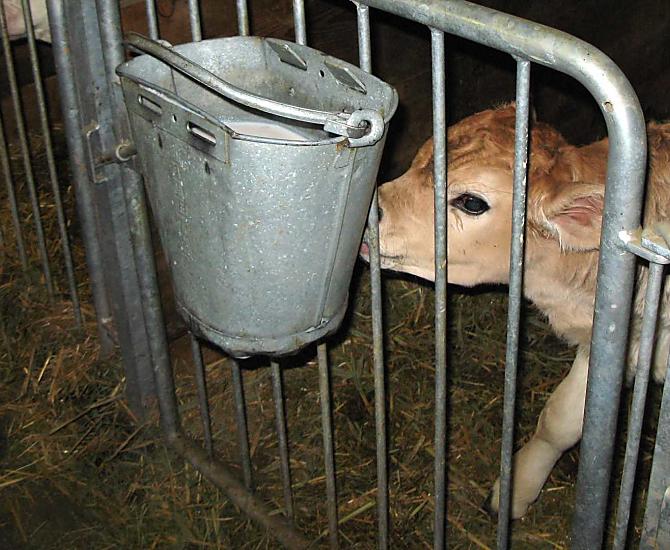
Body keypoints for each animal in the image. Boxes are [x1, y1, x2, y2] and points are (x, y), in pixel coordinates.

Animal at [371, 103, 670, 518]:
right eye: (421, 155)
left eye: (472, 202)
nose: (372, 209)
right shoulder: (610, 341)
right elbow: (561, 419)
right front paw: (516, 489)